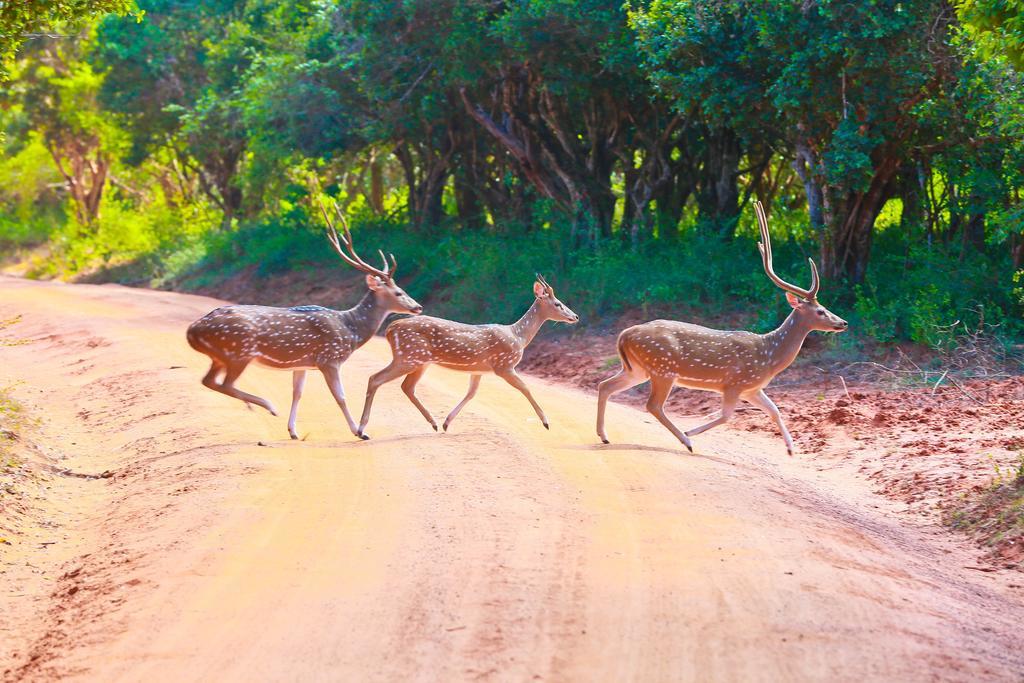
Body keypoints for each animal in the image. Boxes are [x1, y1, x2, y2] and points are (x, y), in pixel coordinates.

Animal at [186, 202, 421, 440]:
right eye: (399, 292)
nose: (418, 307)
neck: (351, 330)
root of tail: (192, 330)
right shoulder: (329, 359)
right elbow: (340, 396)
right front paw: (359, 432)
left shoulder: (302, 364)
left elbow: (297, 393)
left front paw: (293, 431)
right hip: (239, 352)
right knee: (226, 383)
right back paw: (270, 406)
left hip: (220, 356)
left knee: (209, 381)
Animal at [356, 276, 577, 438]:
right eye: (558, 303)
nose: (575, 316)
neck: (518, 336)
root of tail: (390, 329)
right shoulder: (503, 365)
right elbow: (525, 388)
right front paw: (546, 422)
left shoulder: (478, 369)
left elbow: (471, 393)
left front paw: (447, 422)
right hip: (408, 357)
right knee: (376, 378)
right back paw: (361, 429)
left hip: (418, 361)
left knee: (406, 386)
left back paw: (434, 423)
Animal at [593, 202, 847, 458]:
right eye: (820, 311)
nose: (843, 322)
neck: (769, 357)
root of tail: (624, 335)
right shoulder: (735, 383)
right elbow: (726, 416)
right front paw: (691, 431)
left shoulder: (752, 388)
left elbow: (774, 409)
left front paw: (790, 449)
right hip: (662, 369)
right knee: (653, 405)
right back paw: (686, 440)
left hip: (637, 369)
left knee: (605, 385)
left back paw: (604, 435)